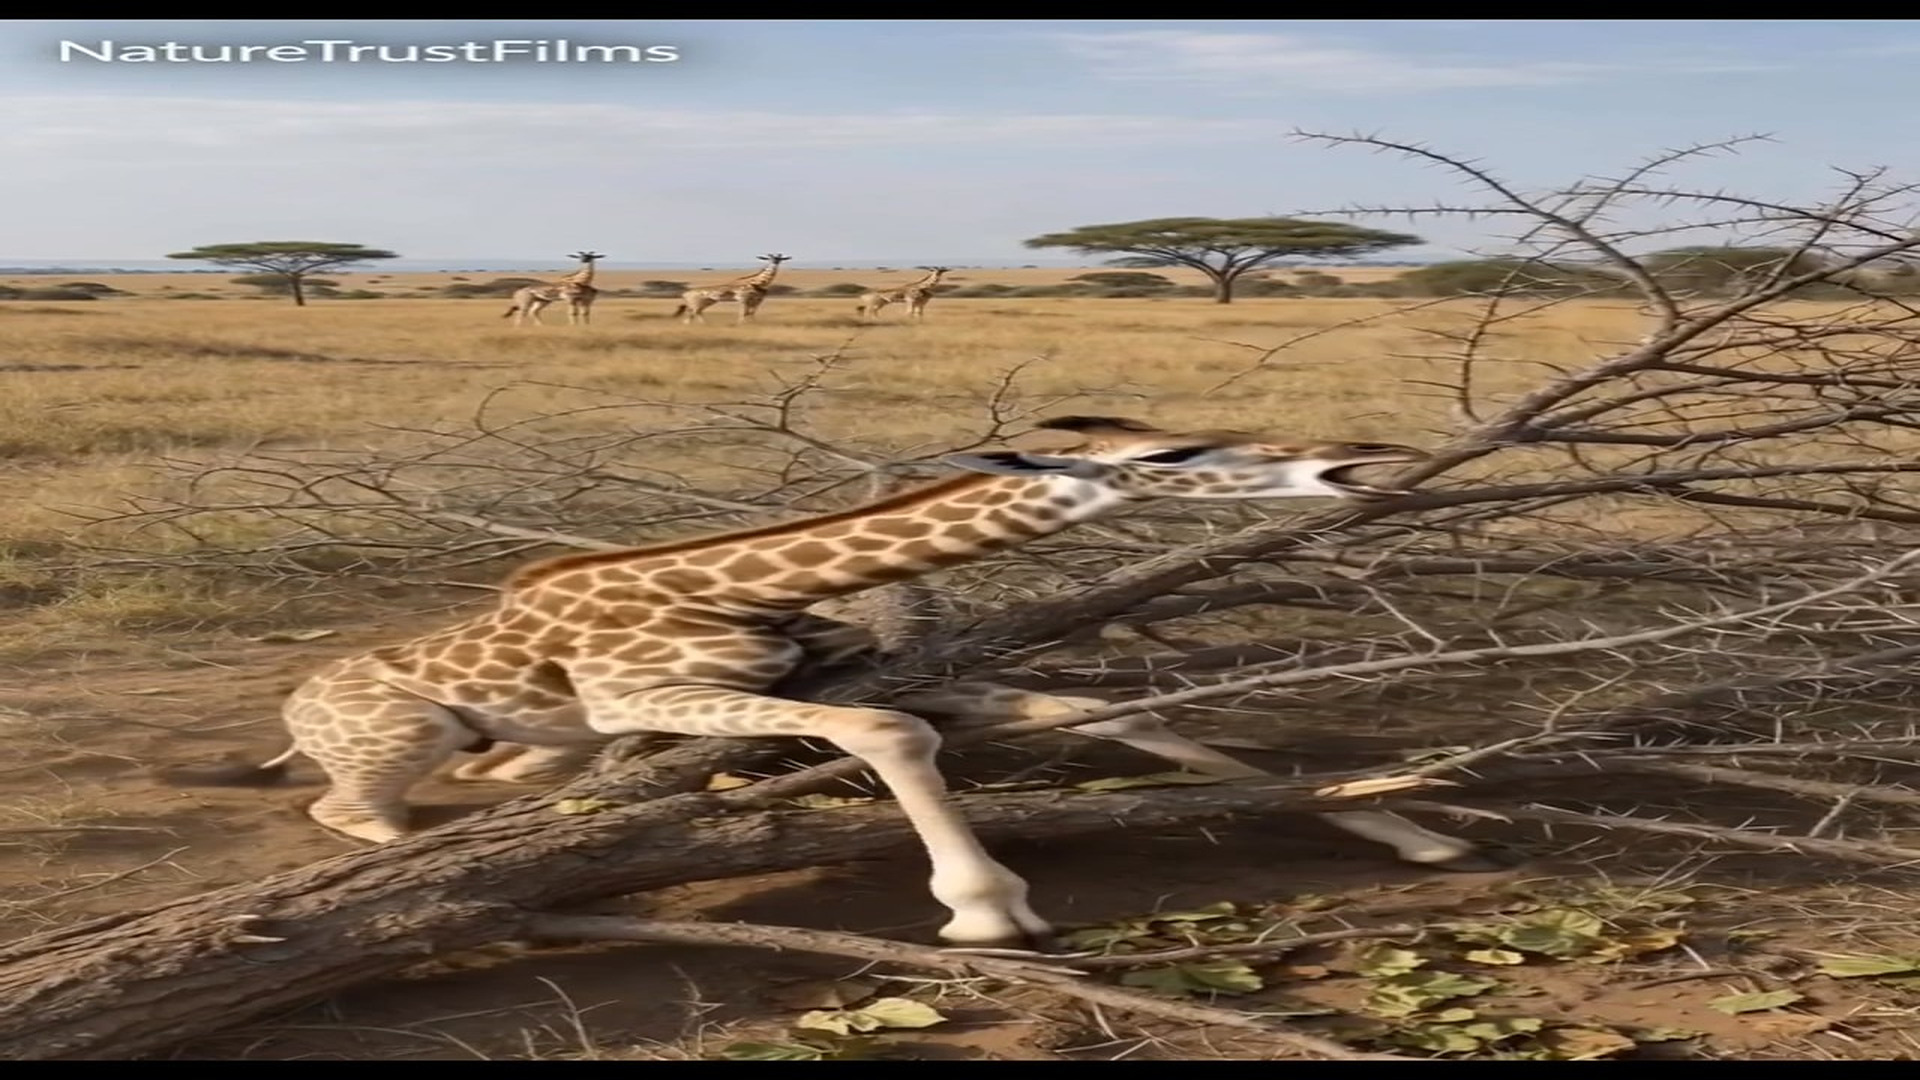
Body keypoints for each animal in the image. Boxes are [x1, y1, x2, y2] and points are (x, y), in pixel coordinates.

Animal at [162, 415, 1507, 949]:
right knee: (354, 809)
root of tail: (294, 712)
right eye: (1195, 454)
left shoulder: (876, 669)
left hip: (516, 737)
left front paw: (1414, 825)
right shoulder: (643, 692)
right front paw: (987, 909)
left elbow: (1100, 711)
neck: (732, 586)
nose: (1367, 467)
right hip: (410, 735)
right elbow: (887, 732)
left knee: (509, 771)